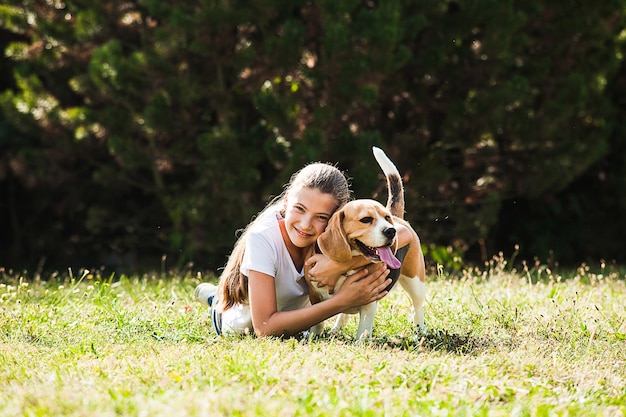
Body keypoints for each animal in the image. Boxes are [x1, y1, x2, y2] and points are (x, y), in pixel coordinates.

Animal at [304, 146, 424, 338]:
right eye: (366, 219)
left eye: (386, 218)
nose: (391, 231)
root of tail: (399, 218)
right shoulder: (315, 297)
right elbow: (317, 324)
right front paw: (314, 337)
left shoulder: (369, 303)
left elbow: (363, 332)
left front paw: (360, 342)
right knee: (343, 313)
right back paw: (336, 329)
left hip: (415, 280)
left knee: (418, 307)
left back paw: (421, 332)